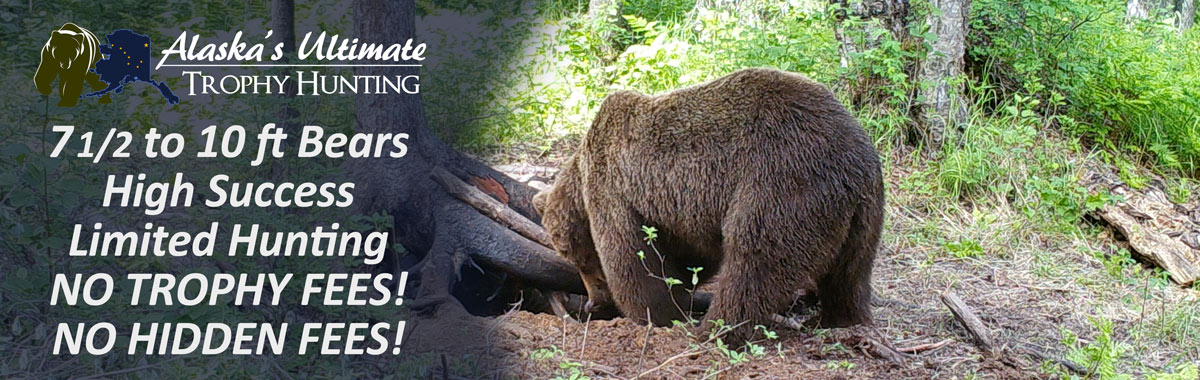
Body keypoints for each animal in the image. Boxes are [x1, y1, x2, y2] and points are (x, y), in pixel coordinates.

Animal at [535, 68, 883, 342]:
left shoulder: (614, 187)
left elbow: (635, 264)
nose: (593, 302)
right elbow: (688, 260)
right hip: (863, 216)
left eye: (581, 260)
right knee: (849, 274)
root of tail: (855, 162)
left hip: (781, 181)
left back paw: (713, 329)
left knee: (753, 262)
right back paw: (838, 318)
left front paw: (656, 317)